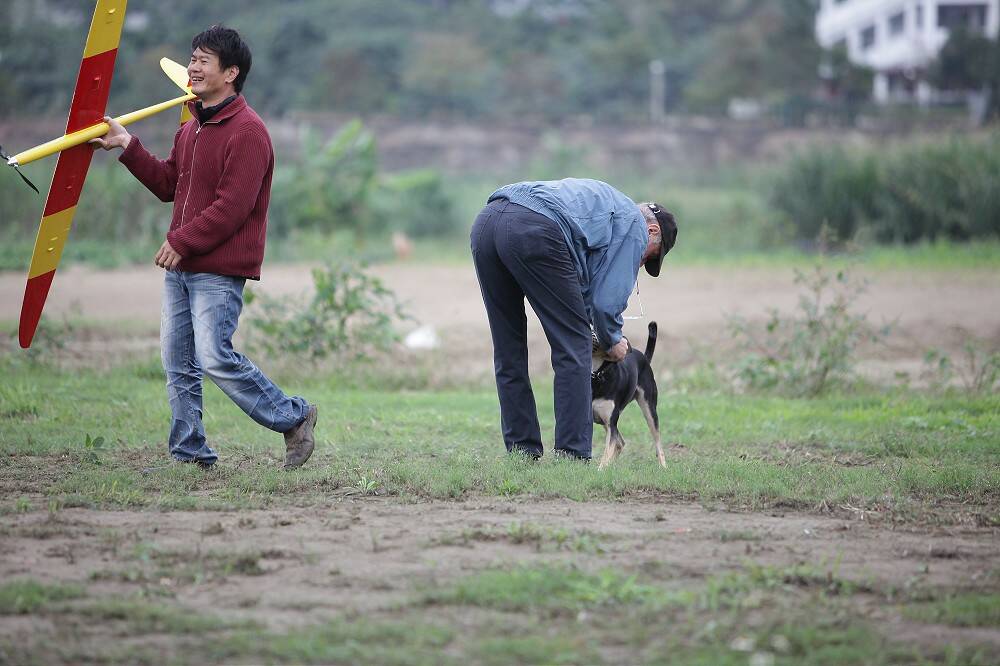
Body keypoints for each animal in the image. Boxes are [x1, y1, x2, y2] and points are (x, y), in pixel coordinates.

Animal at [588, 322, 668, 466]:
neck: (597, 375)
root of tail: (644, 357)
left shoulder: (611, 423)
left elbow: (606, 454)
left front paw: (601, 469)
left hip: (649, 410)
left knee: (658, 443)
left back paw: (664, 466)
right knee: (621, 443)